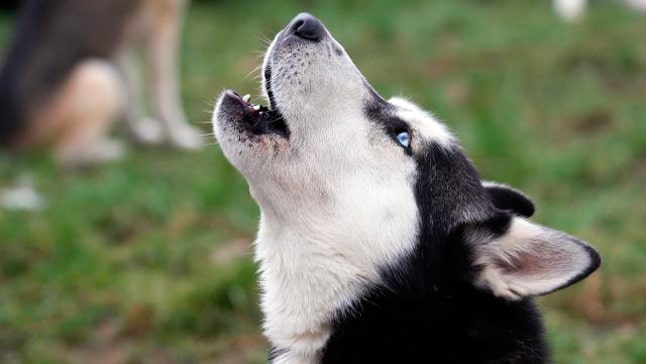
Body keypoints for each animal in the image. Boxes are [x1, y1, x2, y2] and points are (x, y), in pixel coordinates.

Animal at [0, 0, 202, 166]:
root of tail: (7, 136)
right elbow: (165, 91)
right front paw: (179, 139)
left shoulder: (127, 36)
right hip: (100, 77)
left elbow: (131, 92)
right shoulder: (163, 23)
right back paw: (111, 152)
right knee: (65, 154)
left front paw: (139, 135)